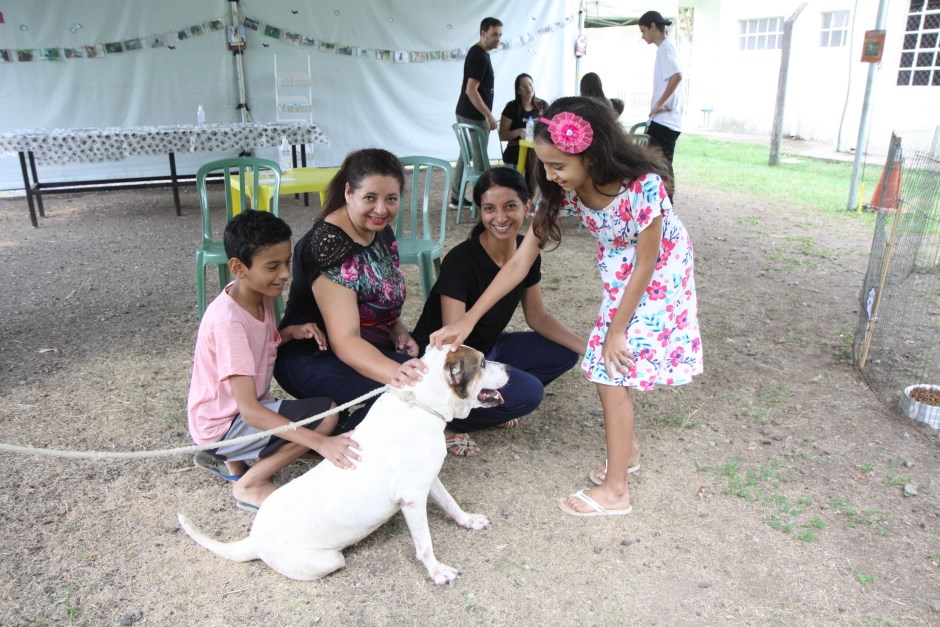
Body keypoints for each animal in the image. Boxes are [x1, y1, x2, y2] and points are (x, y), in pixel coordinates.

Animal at [179, 344, 510, 584]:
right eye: (482, 363)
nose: (508, 367)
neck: (420, 404)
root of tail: (253, 539)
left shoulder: (428, 480)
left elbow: (451, 503)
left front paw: (468, 520)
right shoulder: (412, 499)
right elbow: (425, 544)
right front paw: (437, 571)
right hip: (330, 559)